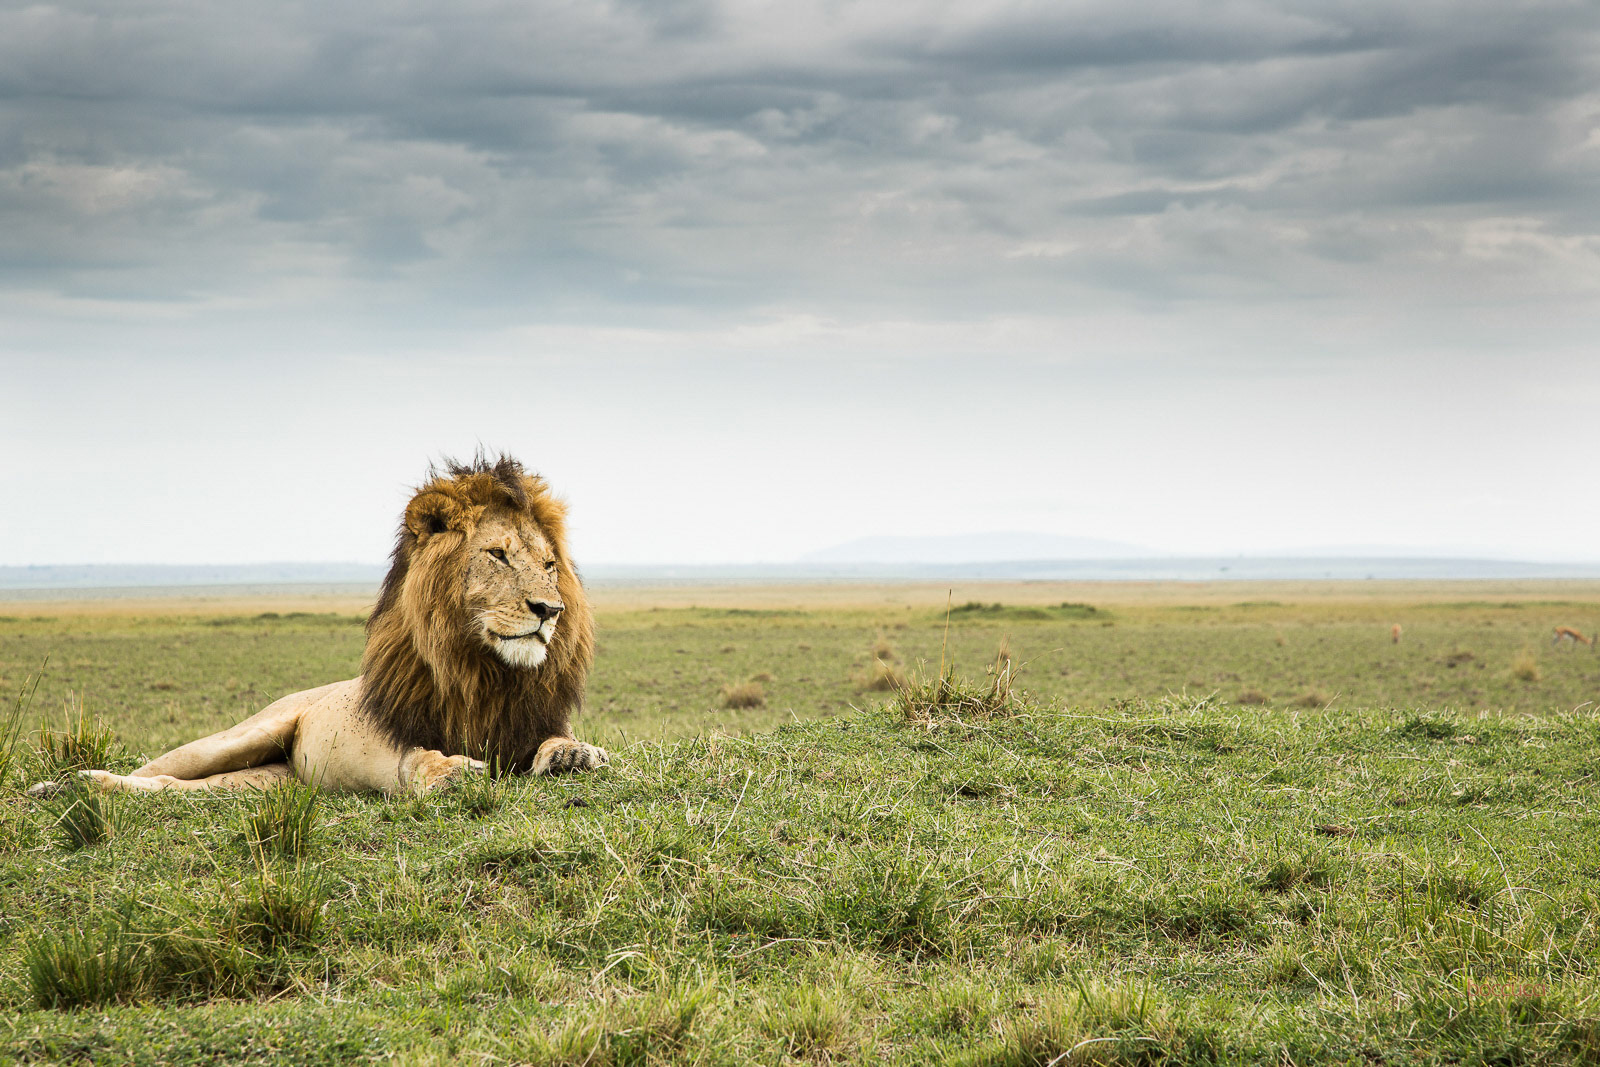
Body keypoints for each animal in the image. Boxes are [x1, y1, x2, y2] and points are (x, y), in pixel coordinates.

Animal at [32, 455, 607, 796]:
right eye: (498, 555)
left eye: (549, 565)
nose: (549, 610)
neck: (485, 674)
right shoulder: (382, 737)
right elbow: (410, 759)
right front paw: (446, 770)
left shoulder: (528, 721)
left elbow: (556, 740)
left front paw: (573, 754)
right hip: (244, 735)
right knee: (156, 771)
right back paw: (64, 785)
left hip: (265, 782)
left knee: (179, 787)